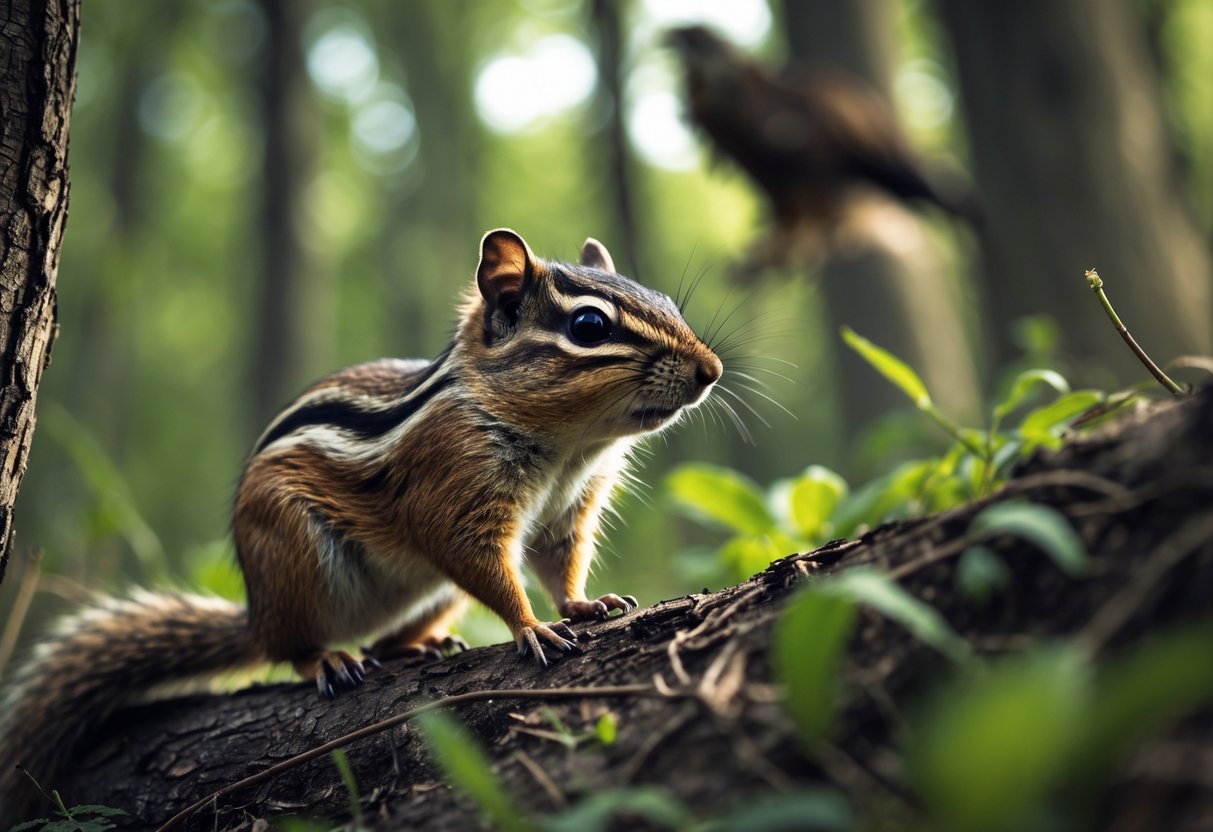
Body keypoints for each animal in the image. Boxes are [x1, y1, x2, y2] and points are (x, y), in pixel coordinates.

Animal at [0, 229, 723, 824]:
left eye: (667, 301)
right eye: (590, 324)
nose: (710, 371)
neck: (569, 446)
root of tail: (257, 611)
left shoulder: (566, 512)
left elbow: (558, 563)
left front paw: (582, 604)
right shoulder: (454, 491)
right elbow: (484, 562)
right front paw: (531, 627)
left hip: (432, 591)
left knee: (385, 637)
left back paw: (419, 646)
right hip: (297, 556)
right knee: (289, 646)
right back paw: (327, 658)